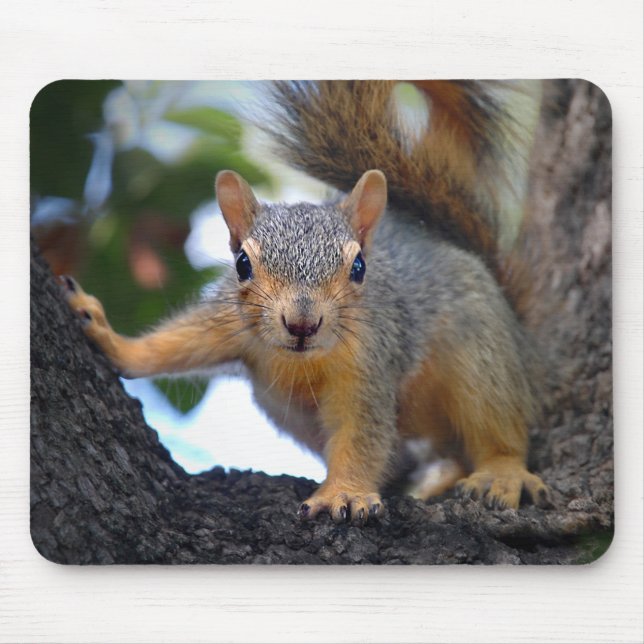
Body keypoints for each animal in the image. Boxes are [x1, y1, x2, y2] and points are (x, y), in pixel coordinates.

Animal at [61, 80, 552, 526]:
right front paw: (107, 336)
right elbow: (176, 344)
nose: (302, 324)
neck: (303, 361)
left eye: (359, 267)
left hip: (483, 355)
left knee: (494, 426)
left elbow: (361, 434)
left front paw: (345, 493)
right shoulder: (230, 322)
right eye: (242, 264)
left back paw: (500, 472)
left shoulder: (369, 362)